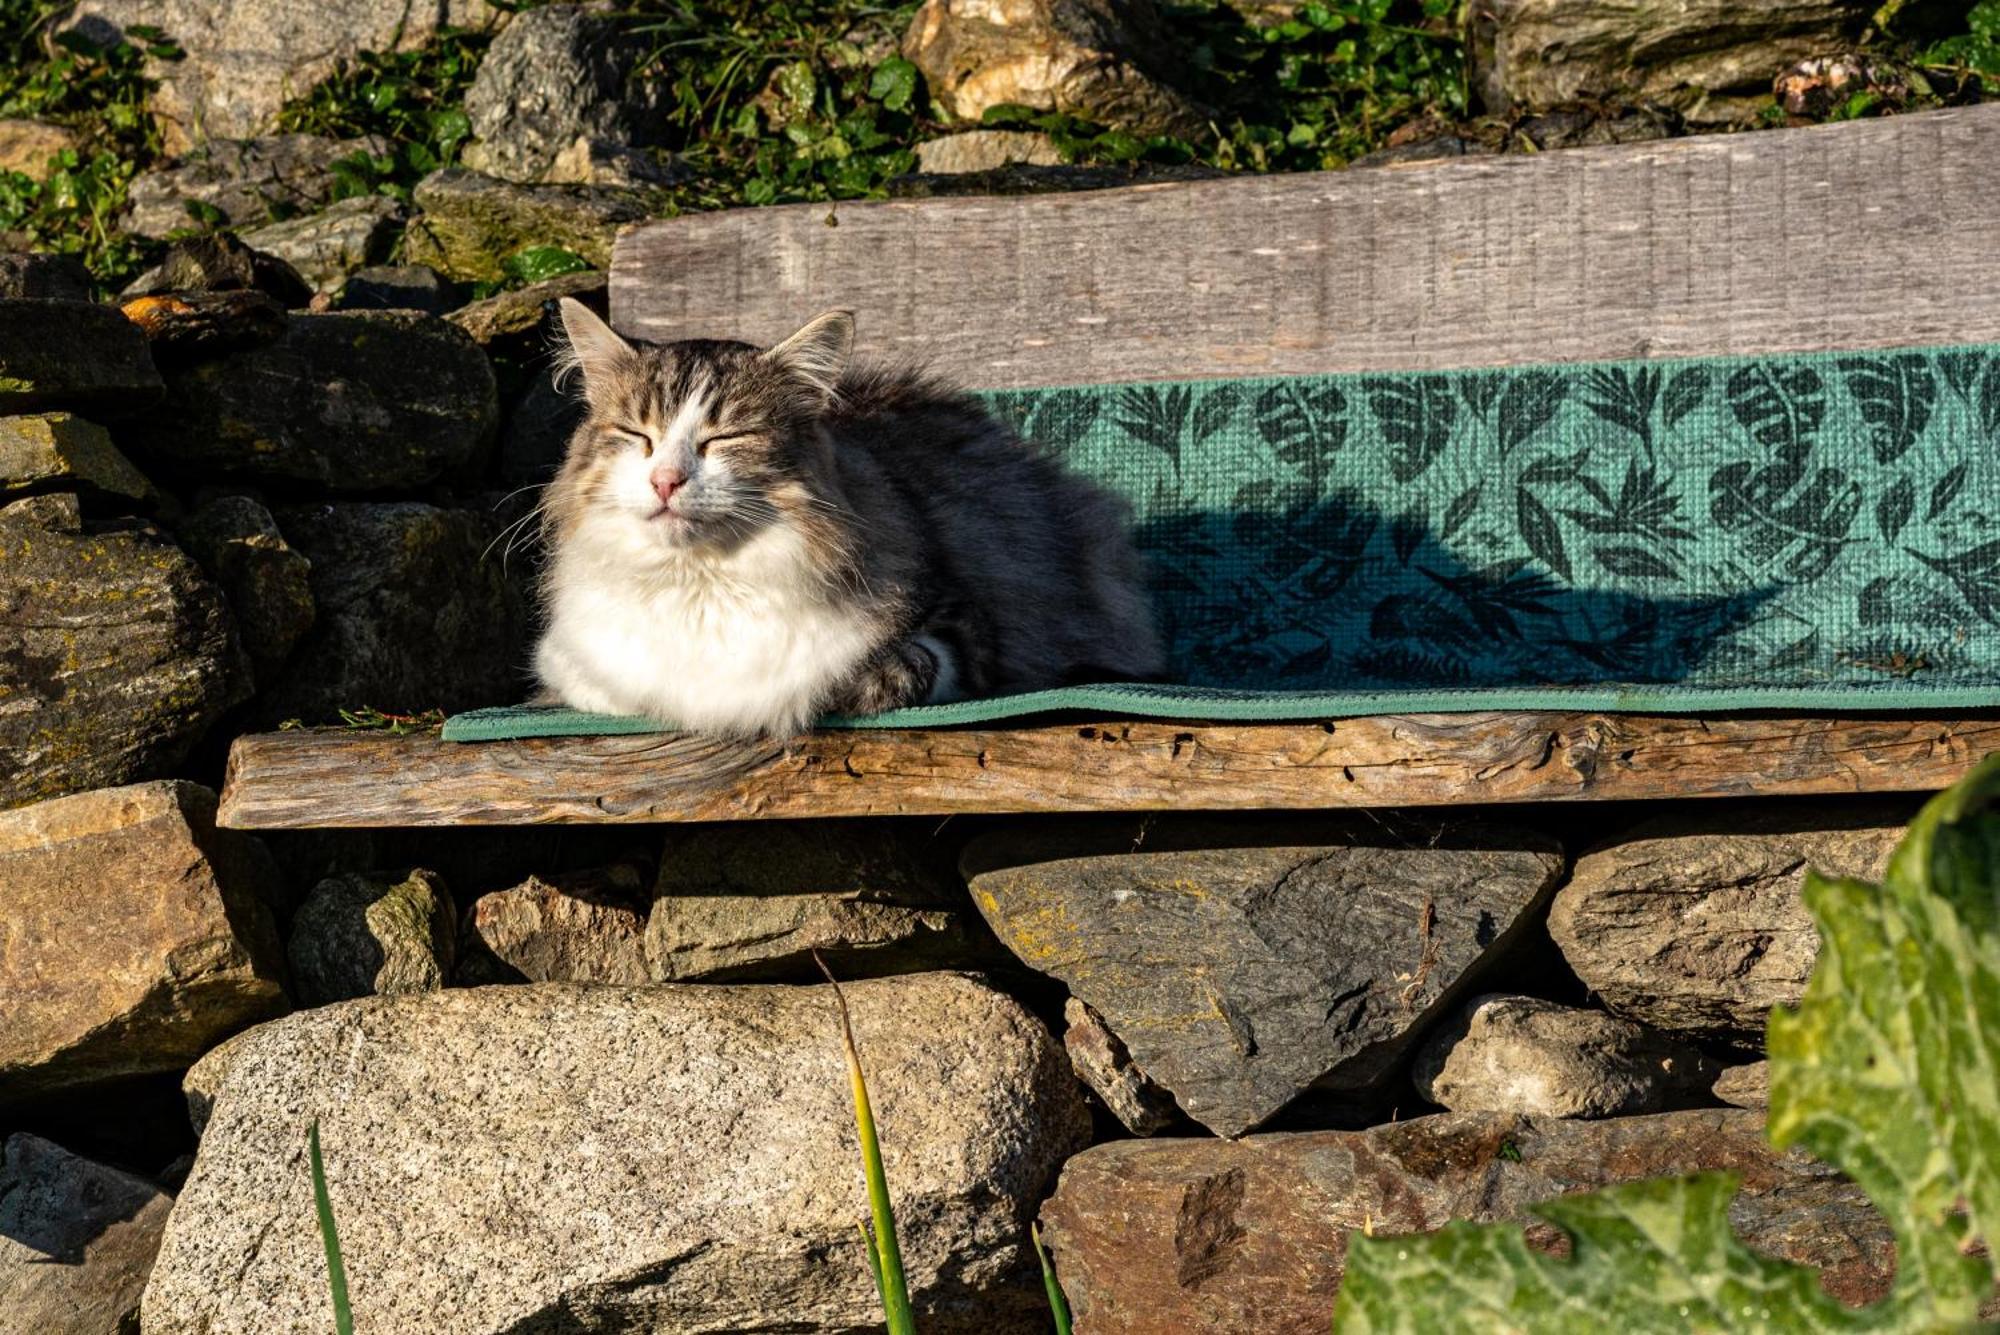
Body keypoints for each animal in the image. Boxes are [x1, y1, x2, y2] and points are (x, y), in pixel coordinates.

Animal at [532, 299, 1168, 739]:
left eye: (726, 438)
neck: (703, 583)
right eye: (637, 435)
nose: (666, 479)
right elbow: (607, 689)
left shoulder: (961, 621)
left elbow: (888, 671)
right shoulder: (572, 659)